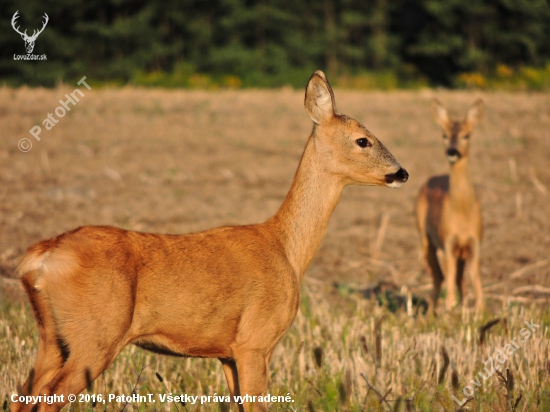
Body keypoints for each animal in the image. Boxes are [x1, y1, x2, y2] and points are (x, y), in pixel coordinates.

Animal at [11, 71, 410, 412]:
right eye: (363, 140)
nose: (402, 173)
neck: (287, 250)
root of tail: (40, 257)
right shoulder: (255, 341)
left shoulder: (226, 352)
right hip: (95, 335)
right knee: (45, 399)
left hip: (52, 337)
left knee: (22, 395)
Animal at [416, 99, 486, 312]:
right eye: (444, 135)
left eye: (466, 135)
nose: (452, 152)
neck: (462, 213)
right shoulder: (447, 242)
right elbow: (450, 283)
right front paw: (450, 311)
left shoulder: (474, 243)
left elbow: (476, 283)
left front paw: (479, 314)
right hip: (425, 237)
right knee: (440, 277)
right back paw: (430, 313)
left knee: (458, 280)